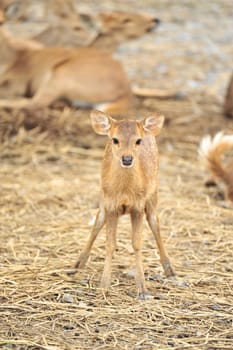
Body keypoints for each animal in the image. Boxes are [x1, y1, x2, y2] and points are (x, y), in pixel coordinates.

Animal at [73, 110, 176, 298]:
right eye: (114, 139)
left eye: (138, 140)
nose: (127, 159)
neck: (125, 193)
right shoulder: (111, 206)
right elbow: (110, 244)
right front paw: (103, 286)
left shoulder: (138, 207)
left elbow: (137, 243)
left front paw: (142, 287)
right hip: (102, 199)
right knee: (97, 222)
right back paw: (79, 263)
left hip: (153, 196)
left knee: (155, 224)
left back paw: (169, 269)